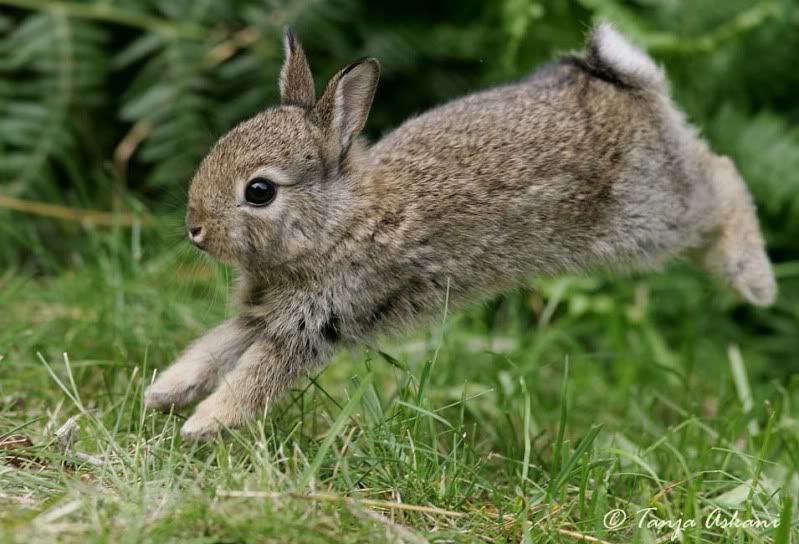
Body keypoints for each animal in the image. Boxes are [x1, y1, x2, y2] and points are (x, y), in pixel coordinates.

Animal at [144, 24, 776, 442]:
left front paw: (203, 424)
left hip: (652, 215)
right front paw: (164, 393)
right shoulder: (266, 313)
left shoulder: (316, 322)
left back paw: (756, 282)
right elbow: (214, 348)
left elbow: (255, 378)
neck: (338, 220)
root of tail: (629, 85)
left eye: (259, 191)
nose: (194, 228)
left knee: (722, 177)